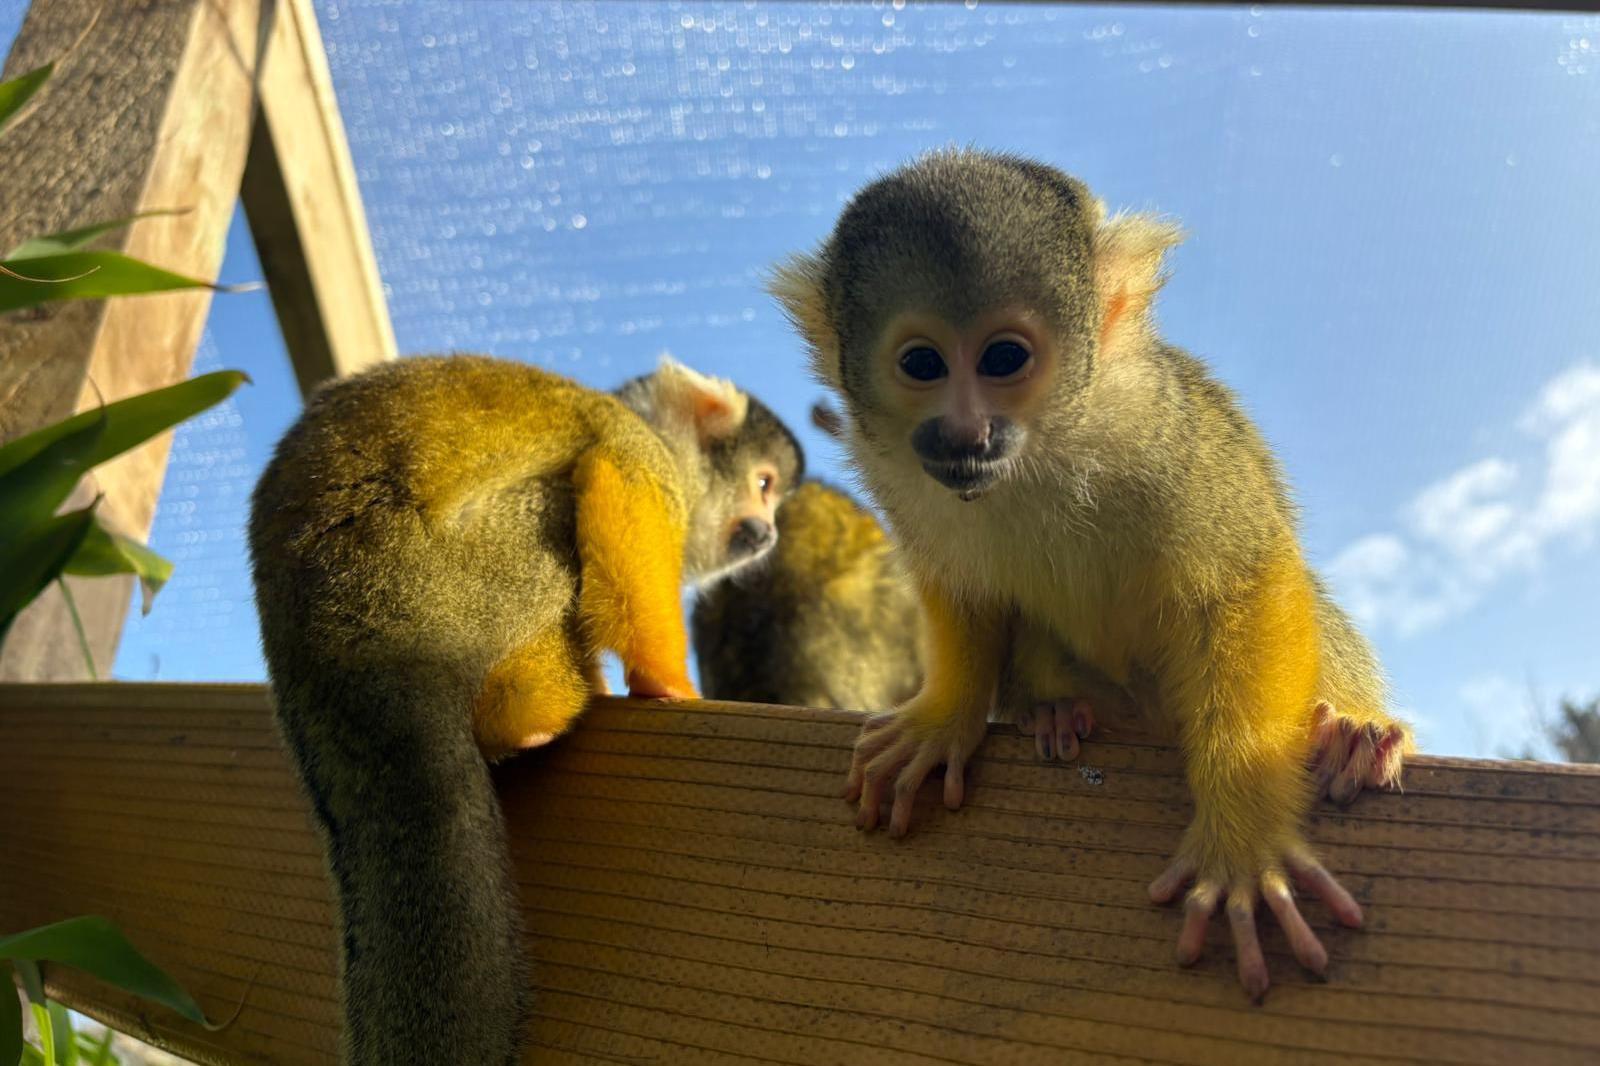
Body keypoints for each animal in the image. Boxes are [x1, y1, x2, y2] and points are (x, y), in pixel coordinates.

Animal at [248, 352, 806, 1056]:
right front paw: (667, 681)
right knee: (557, 503)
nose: (768, 532)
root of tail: (326, 640)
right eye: (763, 484)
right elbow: (622, 485)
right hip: (438, 587)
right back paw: (529, 719)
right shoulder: (642, 448)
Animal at [774, 149, 1414, 998]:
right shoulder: (897, 469)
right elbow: (964, 587)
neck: (1044, 446)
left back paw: (1351, 735)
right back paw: (1055, 708)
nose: (965, 432)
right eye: (922, 364)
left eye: (1004, 359)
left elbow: (1246, 578)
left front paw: (1242, 835)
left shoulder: (1161, 422)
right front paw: (944, 718)